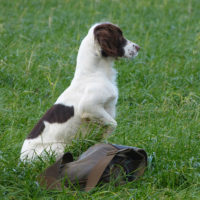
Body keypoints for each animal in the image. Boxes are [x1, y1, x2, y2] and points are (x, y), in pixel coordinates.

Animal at [19, 22, 139, 162]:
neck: (94, 73)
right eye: (120, 36)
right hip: (59, 148)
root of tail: (22, 160)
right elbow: (112, 124)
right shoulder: (89, 106)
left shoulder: (108, 107)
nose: (138, 47)